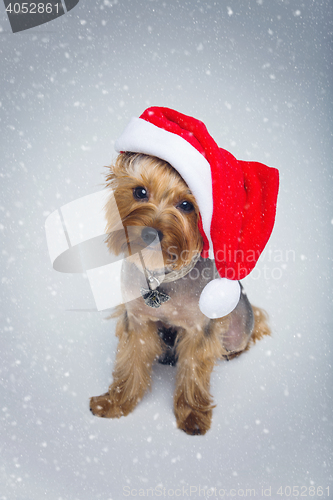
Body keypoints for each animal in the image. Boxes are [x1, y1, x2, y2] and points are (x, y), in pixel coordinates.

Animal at [89, 152, 270, 434]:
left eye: (186, 205)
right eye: (140, 192)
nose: (150, 233)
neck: (161, 275)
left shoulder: (199, 329)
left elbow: (193, 372)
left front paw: (192, 414)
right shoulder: (138, 321)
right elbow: (130, 363)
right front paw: (115, 402)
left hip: (237, 326)